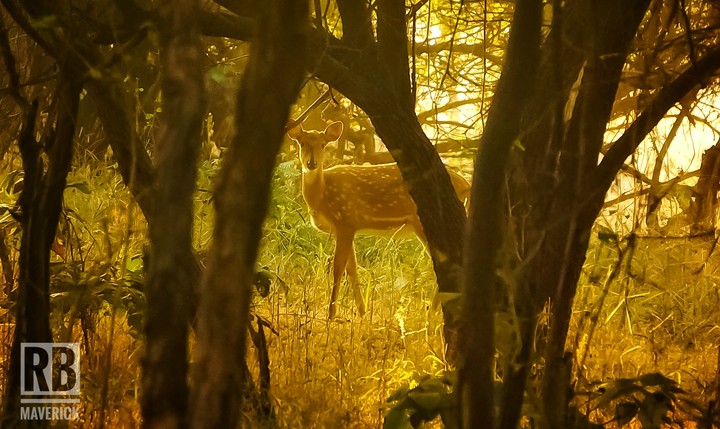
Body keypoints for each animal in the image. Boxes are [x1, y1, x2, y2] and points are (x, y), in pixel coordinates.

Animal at [288, 121, 471, 319]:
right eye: (302, 143)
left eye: (323, 144)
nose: (311, 163)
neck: (321, 195)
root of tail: (467, 184)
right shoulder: (345, 228)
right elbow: (352, 269)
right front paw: (362, 312)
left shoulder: (345, 220)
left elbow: (338, 268)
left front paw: (331, 314)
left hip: (424, 223)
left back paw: (432, 312)